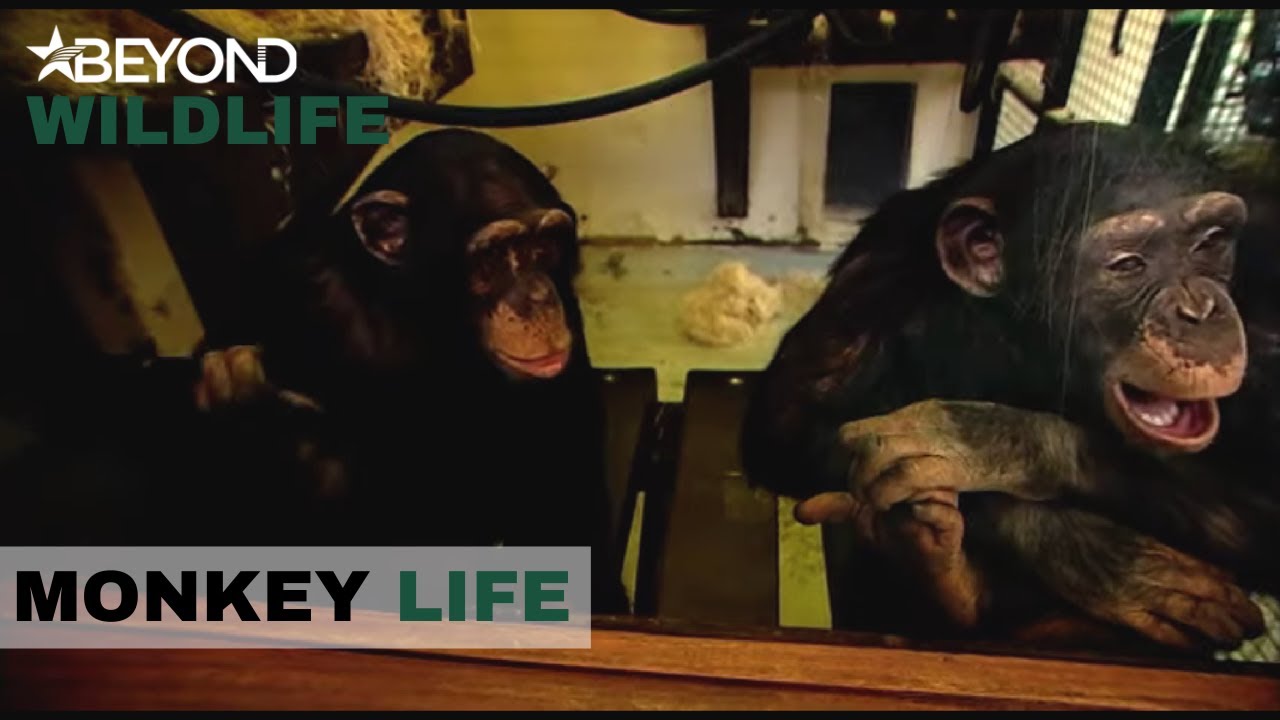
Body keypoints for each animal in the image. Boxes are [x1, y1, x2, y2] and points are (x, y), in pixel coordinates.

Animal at [741, 121, 1274, 652]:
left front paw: (977, 441)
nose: (1200, 310)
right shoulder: (877, 266)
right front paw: (1101, 559)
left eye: (1210, 243)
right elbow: (794, 419)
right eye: (1128, 265)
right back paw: (943, 570)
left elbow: (1261, 506)